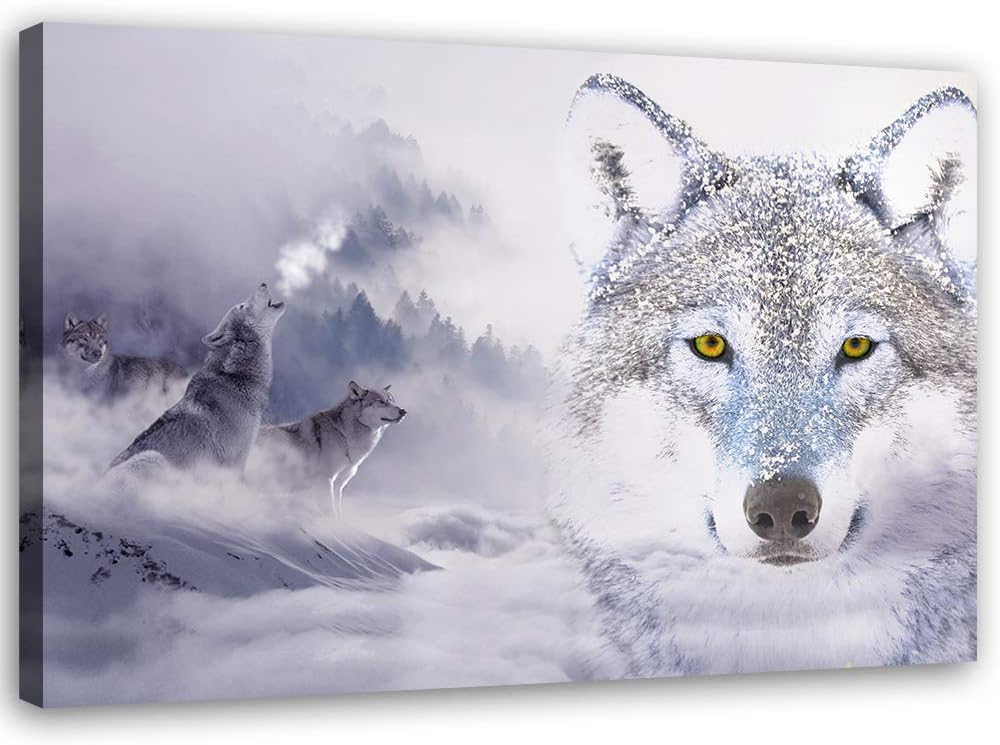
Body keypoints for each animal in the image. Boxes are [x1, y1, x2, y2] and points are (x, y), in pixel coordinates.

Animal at [252, 382, 406, 517]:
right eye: (381, 402)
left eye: (392, 401)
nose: (403, 411)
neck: (345, 436)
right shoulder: (325, 481)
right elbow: (330, 513)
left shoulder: (338, 486)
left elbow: (338, 514)